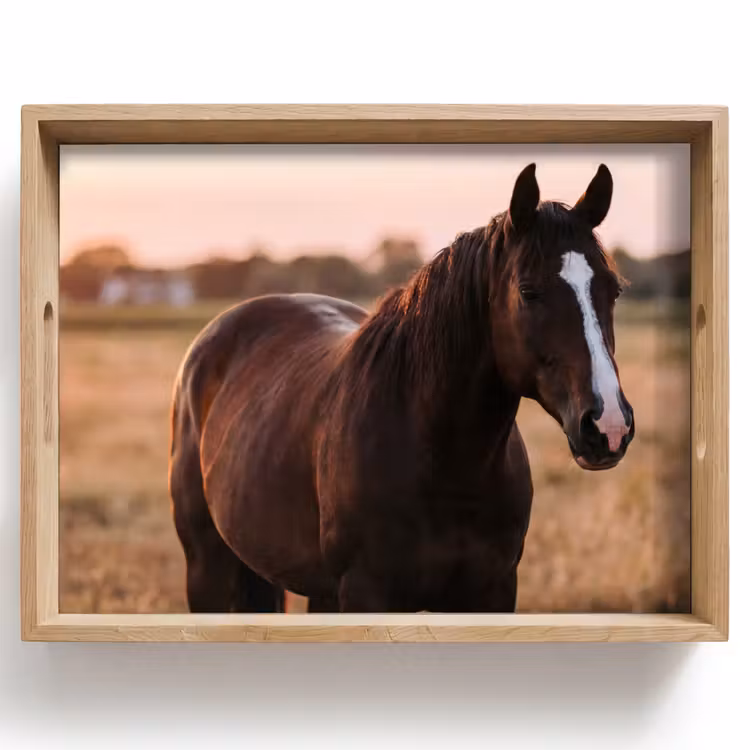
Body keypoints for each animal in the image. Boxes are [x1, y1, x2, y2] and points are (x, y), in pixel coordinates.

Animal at [168, 162, 635, 614]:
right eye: (528, 291)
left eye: (613, 290)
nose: (608, 426)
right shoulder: (365, 593)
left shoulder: (493, 592)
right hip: (207, 568)